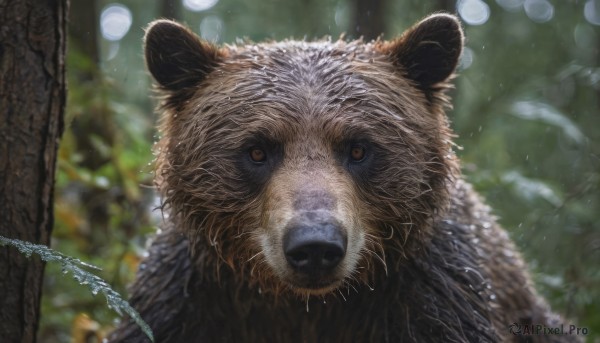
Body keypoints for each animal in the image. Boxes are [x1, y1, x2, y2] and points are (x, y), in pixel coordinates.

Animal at [109, 13, 580, 343]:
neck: (304, 308)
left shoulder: (432, 298)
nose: (315, 246)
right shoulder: (185, 302)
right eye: (257, 150)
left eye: (358, 148)